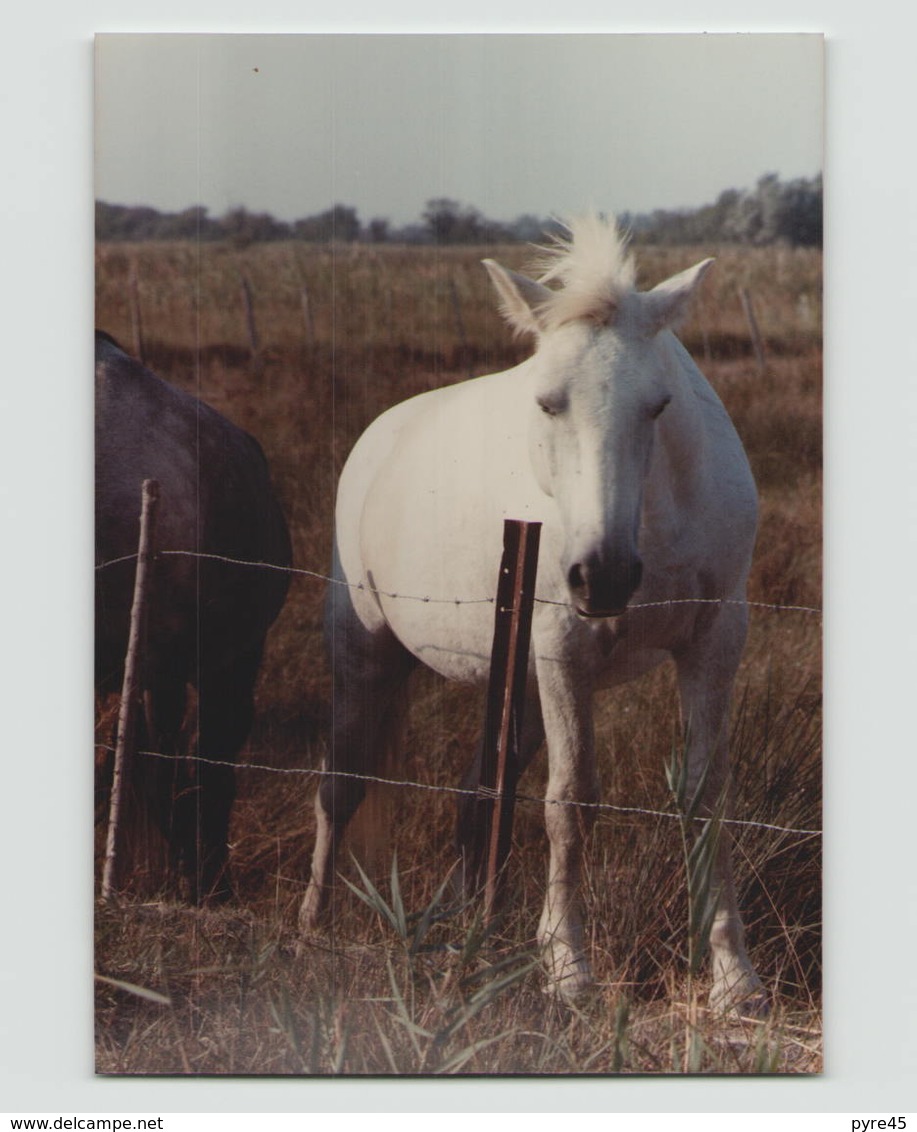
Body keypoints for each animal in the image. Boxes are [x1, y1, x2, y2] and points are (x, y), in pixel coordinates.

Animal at [301, 216, 765, 1014]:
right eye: (549, 402)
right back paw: (310, 928)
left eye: (657, 406)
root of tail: (378, 437)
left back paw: (464, 932)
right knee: (341, 784)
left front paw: (732, 976)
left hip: (513, 682)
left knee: (474, 794)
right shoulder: (562, 647)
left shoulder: (714, 640)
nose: (603, 576)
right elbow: (569, 801)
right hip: (366, 656)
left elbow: (707, 797)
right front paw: (568, 967)